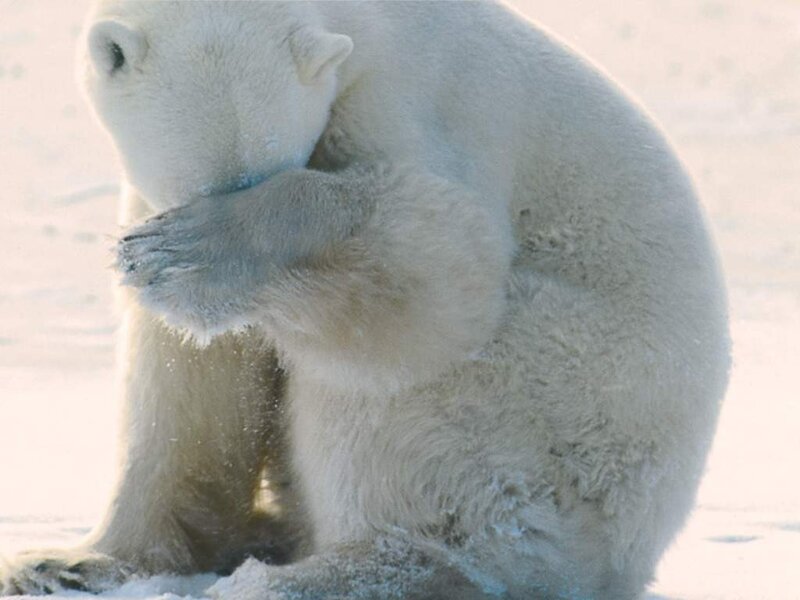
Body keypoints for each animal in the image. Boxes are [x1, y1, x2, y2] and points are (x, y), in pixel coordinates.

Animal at [1, 1, 730, 599]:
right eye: (196, 184)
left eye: (265, 175)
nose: (206, 312)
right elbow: (189, 387)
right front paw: (72, 562)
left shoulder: (403, 105)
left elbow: (442, 261)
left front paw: (195, 252)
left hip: (569, 406)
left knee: (409, 413)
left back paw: (322, 573)